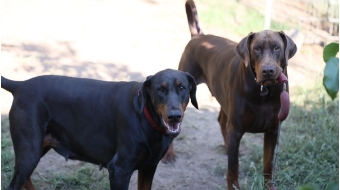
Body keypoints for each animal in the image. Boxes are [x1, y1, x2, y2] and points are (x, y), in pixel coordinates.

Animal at [1, 68, 199, 190]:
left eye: (182, 88)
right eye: (160, 89)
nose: (174, 116)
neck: (147, 118)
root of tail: (20, 85)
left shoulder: (150, 166)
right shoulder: (119, 170)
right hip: (30, 150)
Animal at [163, 0, 296, 189]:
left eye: (277, 47)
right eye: (256, 49)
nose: (268, 70)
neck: (264, 91)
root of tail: (198, 36)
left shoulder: (272, 131)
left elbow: (268, 167)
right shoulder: (236, 129)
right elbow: (233, 167)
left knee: (222, 121)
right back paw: (169, 155)